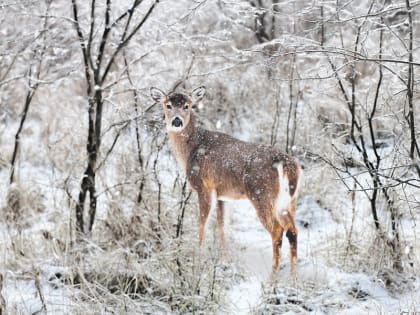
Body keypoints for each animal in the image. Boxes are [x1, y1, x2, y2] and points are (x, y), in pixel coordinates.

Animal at [151, 86, 302, 276]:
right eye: (168, 105)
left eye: (187, 106)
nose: (176, 121)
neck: (190, 150)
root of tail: (287, 164)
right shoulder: (222, 194)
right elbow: (222, 226)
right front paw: (224, 260)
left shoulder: (203, 186)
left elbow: (203, 223)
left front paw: (198, 257)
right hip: (289, 201)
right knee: (293, 231)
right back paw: (293, 277)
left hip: (261, 194)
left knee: (277, 230)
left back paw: (273, 275)